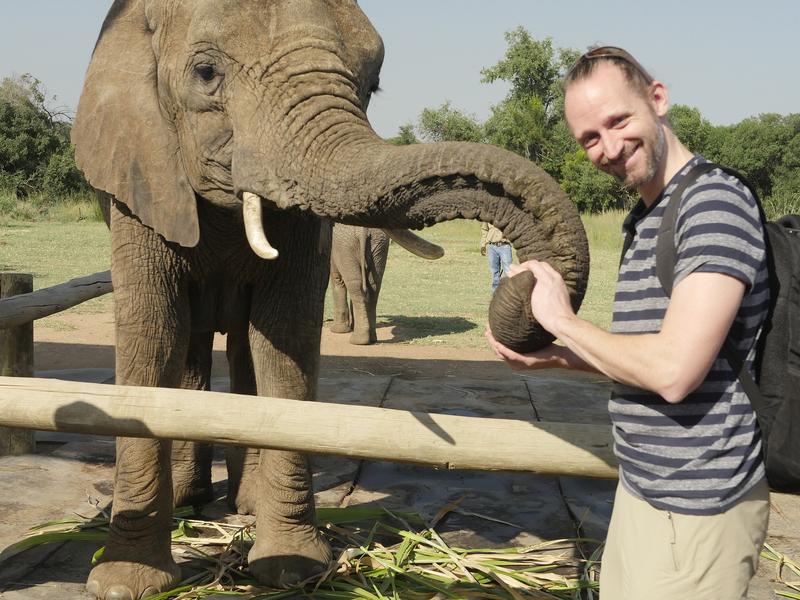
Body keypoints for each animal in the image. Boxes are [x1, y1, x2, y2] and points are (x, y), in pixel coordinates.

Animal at [70, 2, 588, 596]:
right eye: (205, 73)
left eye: (373, 83)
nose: (526, 281)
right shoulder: (140, 175)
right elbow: (153, 336)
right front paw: (123, 582)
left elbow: (286, 337)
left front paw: (292, 568)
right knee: (192, 346)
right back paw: (189, 500)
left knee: (246, 346)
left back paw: (245, 503)